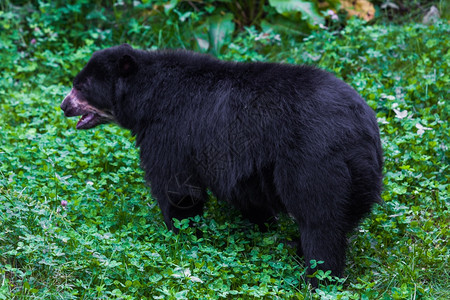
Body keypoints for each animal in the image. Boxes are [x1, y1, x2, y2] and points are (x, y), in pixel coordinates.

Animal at [60, 44, 384, 286]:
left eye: (82, 86)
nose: (64, 106)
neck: (147, 98)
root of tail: (361, 128)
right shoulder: (244, 161)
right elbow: (246, 192)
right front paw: (261, 225)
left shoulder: (172, 132)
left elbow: (176, 187)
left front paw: (182, 234)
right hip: (358, 176)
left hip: (314, 161)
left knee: (320, 221)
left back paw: (317, 277)